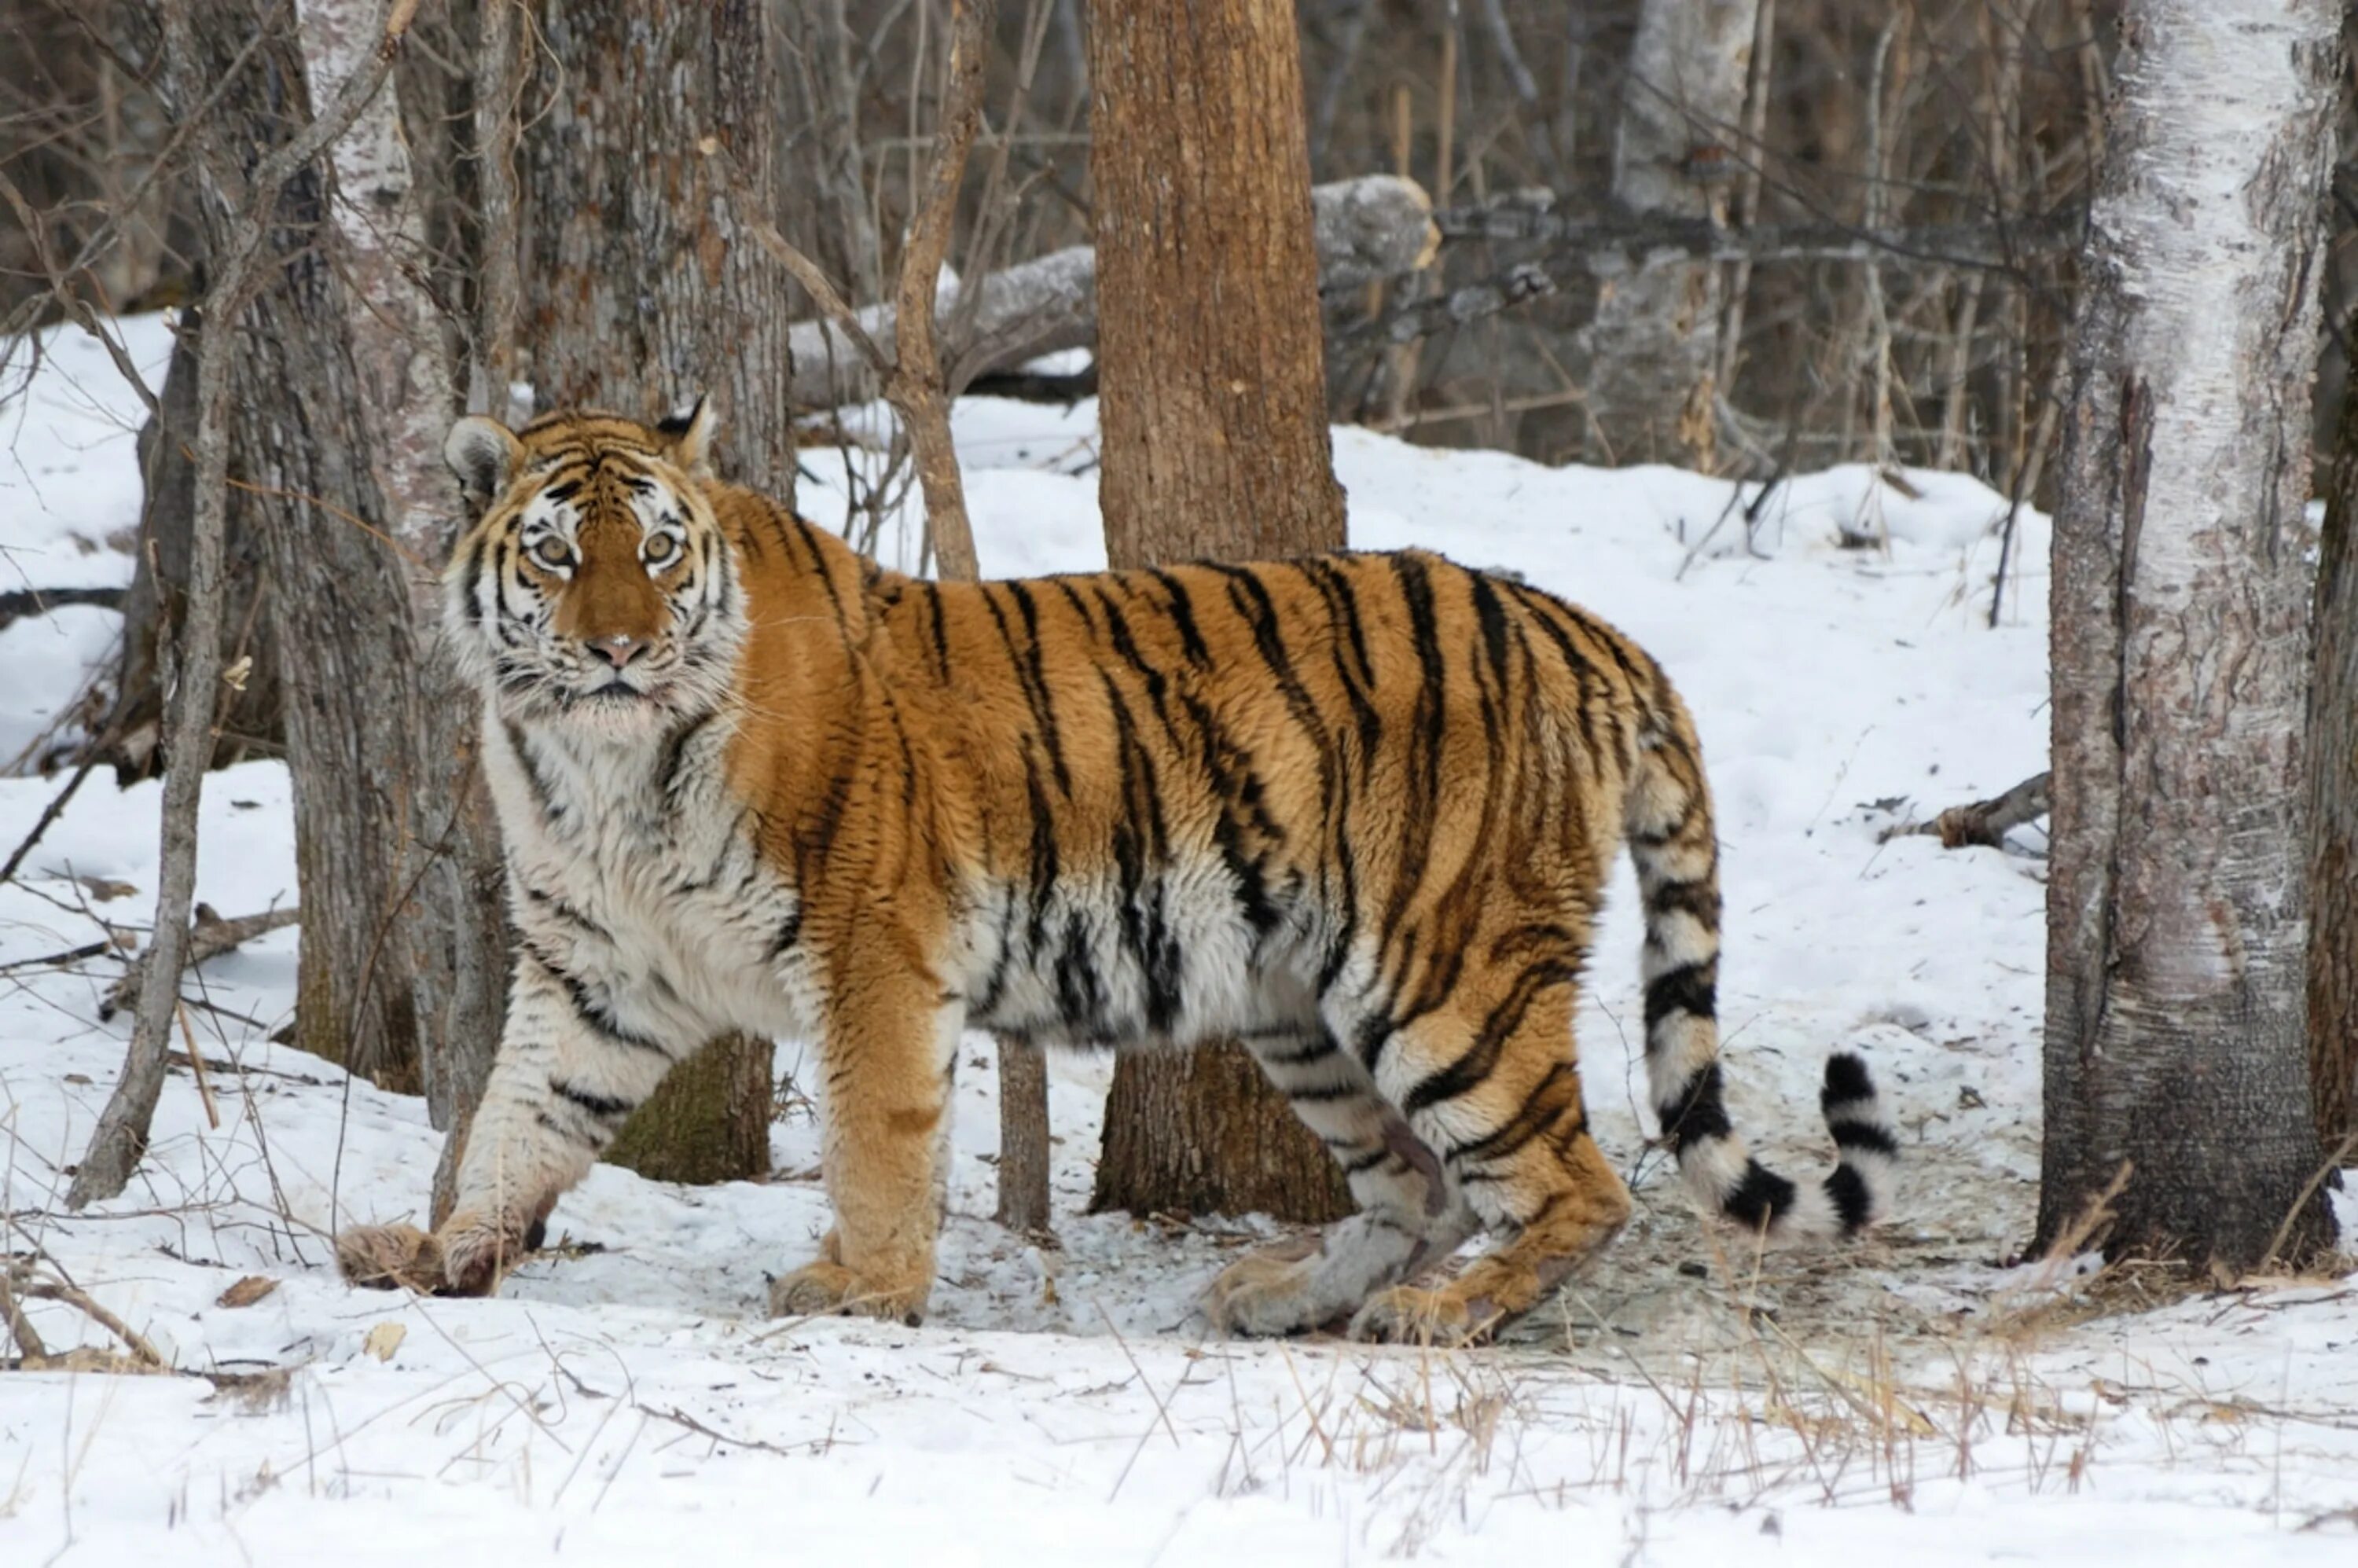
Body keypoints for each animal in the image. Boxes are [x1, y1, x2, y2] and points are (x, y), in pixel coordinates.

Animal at [337, 401, 1896, 1330]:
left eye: (659, 552)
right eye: (555, 555)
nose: (617, 647)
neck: (599, 767)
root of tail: (1585, 626)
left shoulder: (871, 948)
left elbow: (874, 1140)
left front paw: (862, 1290)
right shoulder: (593, 972)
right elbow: (511, 1125)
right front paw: (438, 1253)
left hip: (1444, 973)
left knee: (1576, 1186)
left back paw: (1437, 1315)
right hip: (1298, 1004)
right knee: (1422, 1187)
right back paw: (1278, 1293)